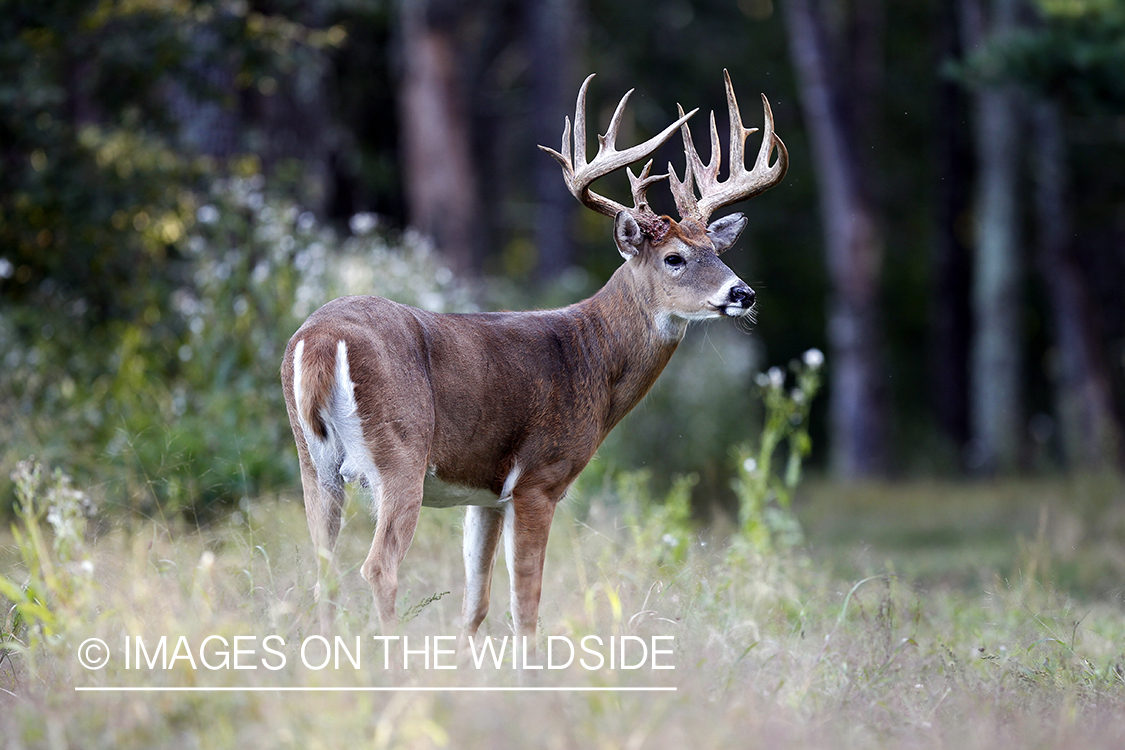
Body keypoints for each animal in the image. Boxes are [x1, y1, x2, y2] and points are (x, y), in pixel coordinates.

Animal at [281, 68, 792, 647]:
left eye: (717, 251)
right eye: (675, 258)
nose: (742, 293)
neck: (590, 355)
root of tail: (320, 340)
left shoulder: (485, 494)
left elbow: (476, 604)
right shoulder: (539, 479)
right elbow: (525, 605)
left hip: (314, 462)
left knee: (323, 568)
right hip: (401, 452)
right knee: (378, 567)